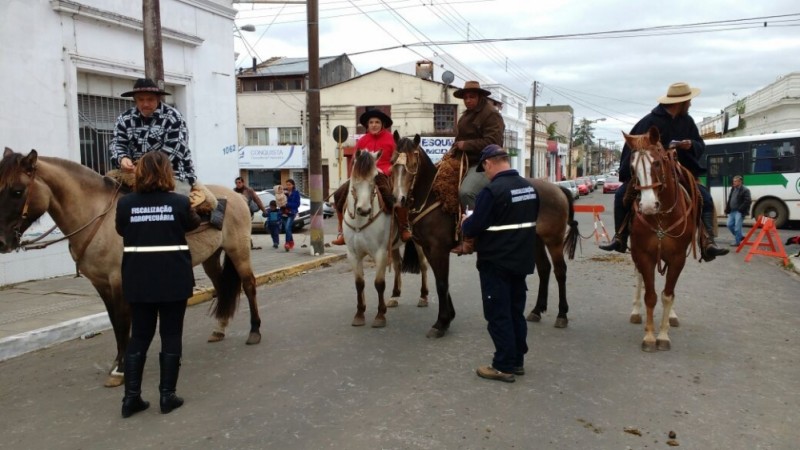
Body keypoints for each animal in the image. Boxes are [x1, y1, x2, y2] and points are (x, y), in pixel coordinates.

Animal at [390, 135, 580, 336]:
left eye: (413, 163)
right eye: (392, 161)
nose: (398, 198)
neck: (434, 197)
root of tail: (558, 189)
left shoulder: (439, 250)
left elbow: (442, 283)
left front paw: (441, 322)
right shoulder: (428, 249)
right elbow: (442, 282)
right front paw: (449, 317)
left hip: (554, 240)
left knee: (560, 271)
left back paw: (562, 314)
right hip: (536, 240)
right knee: (544, 269)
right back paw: (537, 310)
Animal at [624, 126, 700, 352]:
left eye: (657, 162)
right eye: (632, 167)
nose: (648, 206)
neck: (661, 218)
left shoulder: (677, 258)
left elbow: (668, 295)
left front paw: (663, 336)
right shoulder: (644, 255)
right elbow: (650, 295)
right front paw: (649, 337)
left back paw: (672, 316)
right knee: (639, 277)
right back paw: (636, 312)